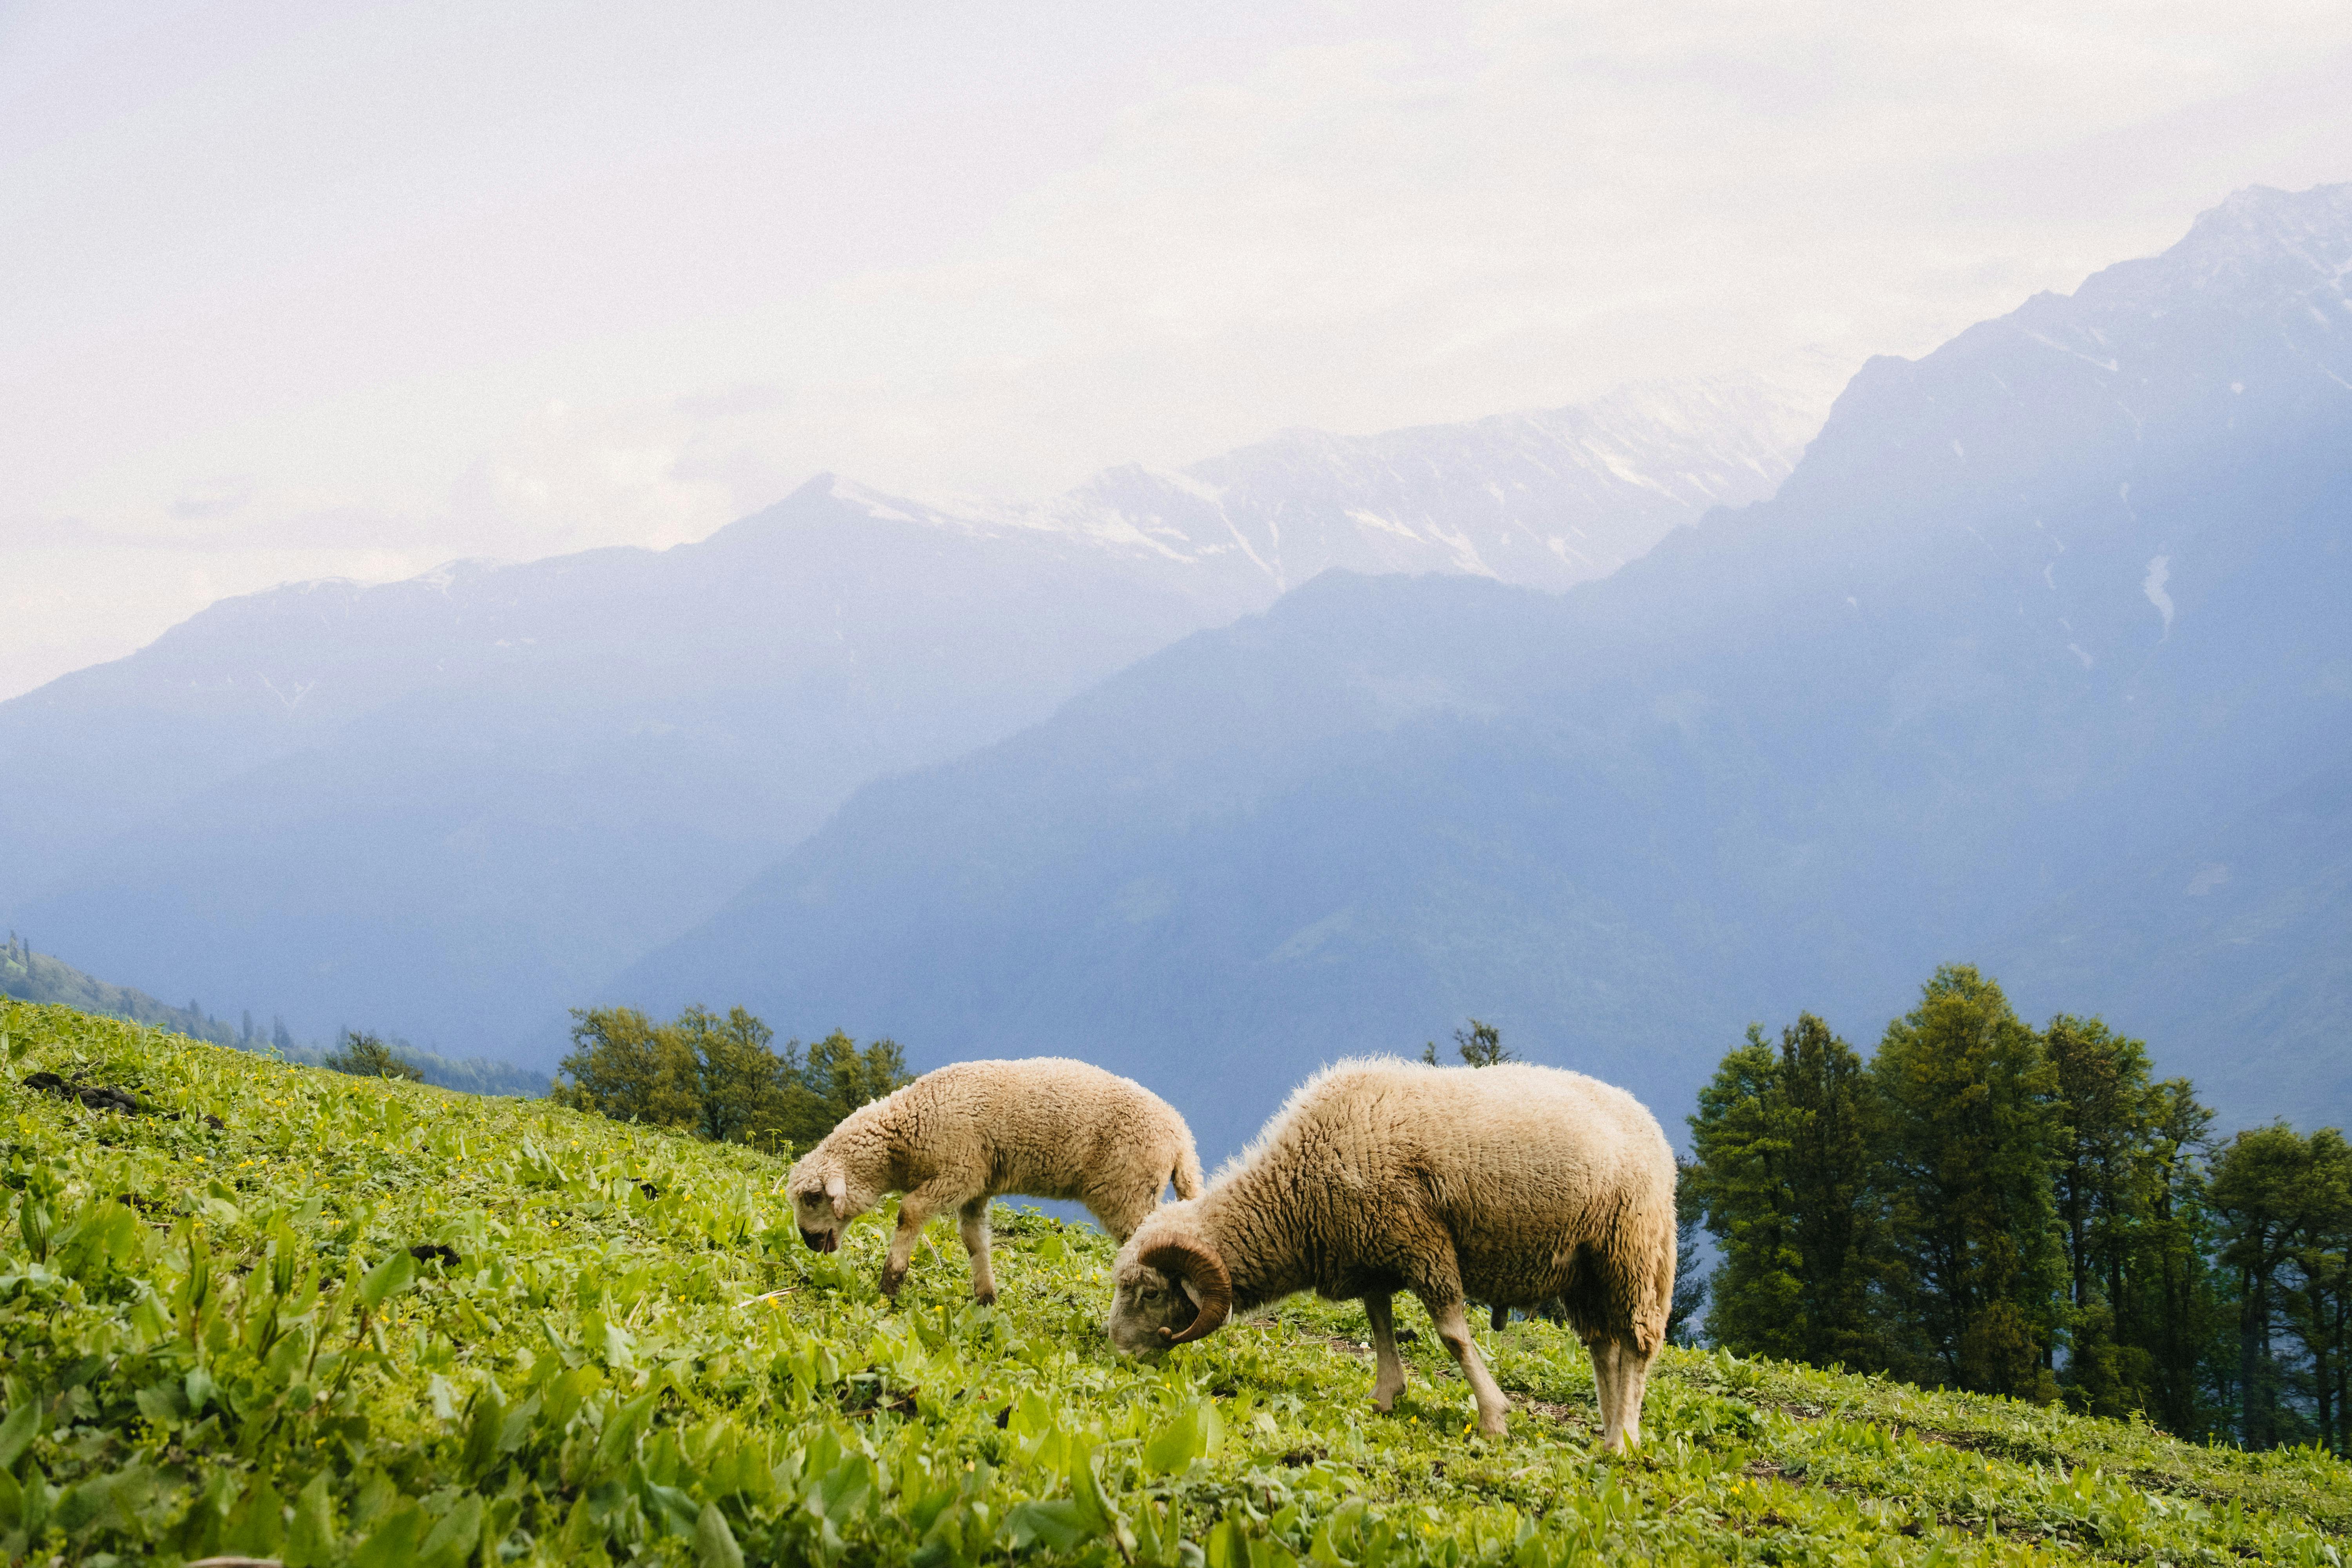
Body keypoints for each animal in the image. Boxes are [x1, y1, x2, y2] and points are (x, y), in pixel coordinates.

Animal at [786, 1057, 1203, 1303]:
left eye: (813, 1197)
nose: (808, 1241)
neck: (906, 1132)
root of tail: (1181, 1135)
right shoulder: (977, 1184)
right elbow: (974, 1240)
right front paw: (986, 1297)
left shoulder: (958, 1172)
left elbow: (909, 1212)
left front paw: (890, 1284)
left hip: (1127, 1192)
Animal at [1104, 1056, 1676, 1450]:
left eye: (1150, 1294)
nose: (1117, 1353)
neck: (1297, 1193)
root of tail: (1652, 1128)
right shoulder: (1373, 1253)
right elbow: (1380, 1323)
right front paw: (1385, 1395)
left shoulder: (1423, 1241)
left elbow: (1453, 1338)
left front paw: (1493, 1417)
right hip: (1585, 1269)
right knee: (1604, 1347)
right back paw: (1609, 1428)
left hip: (1632, 1250)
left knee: (1638, 1344)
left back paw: (1623, 1439)